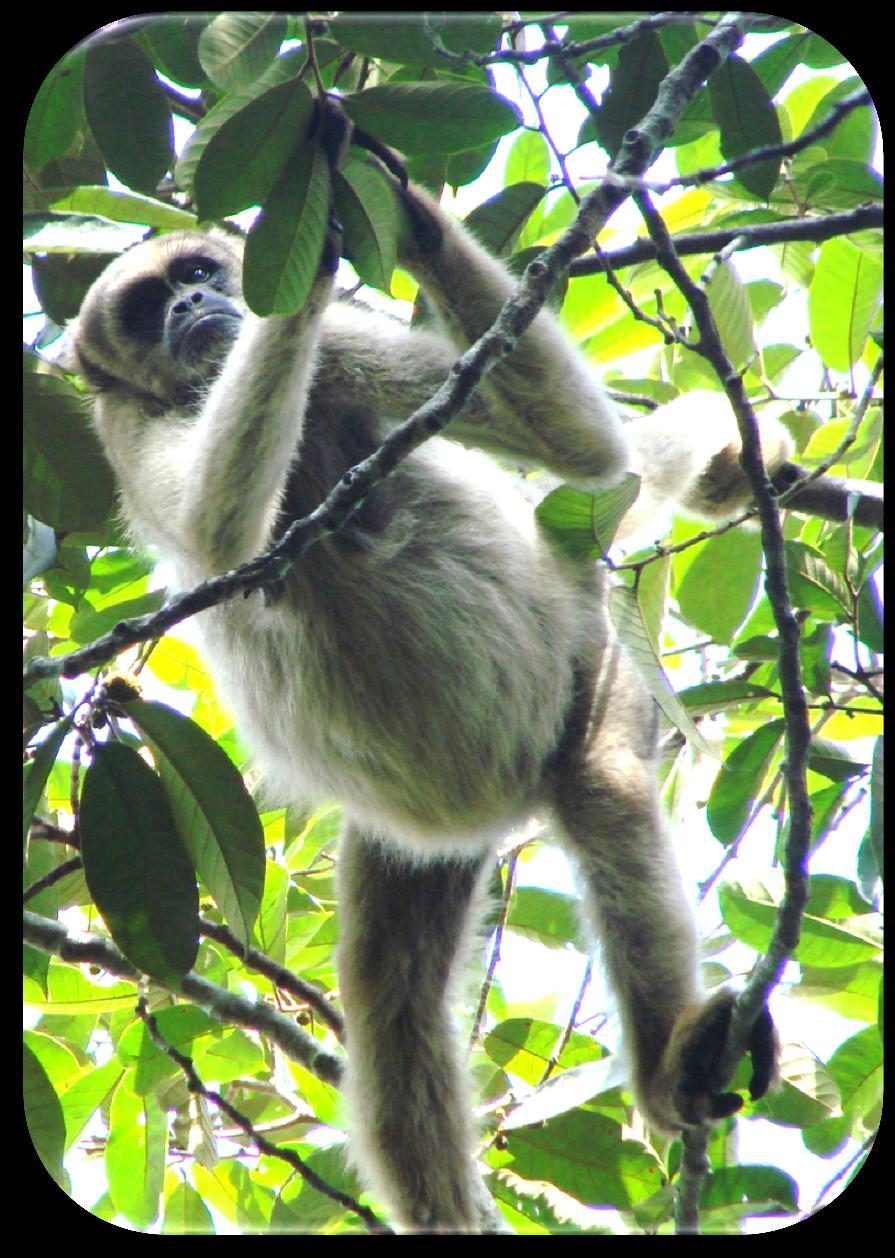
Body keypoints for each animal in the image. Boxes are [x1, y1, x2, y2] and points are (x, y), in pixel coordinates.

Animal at [62, 137, 785, 1227]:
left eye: (196, 274)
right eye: (149, 310)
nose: (194, 306)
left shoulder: (336, 348)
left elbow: (585, 448)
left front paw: (388, 212)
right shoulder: (123, 426)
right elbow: (218, 533)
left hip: (592, 665)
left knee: (603, 790)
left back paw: (668, 1066)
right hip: (418, 842)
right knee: (390, 1007)